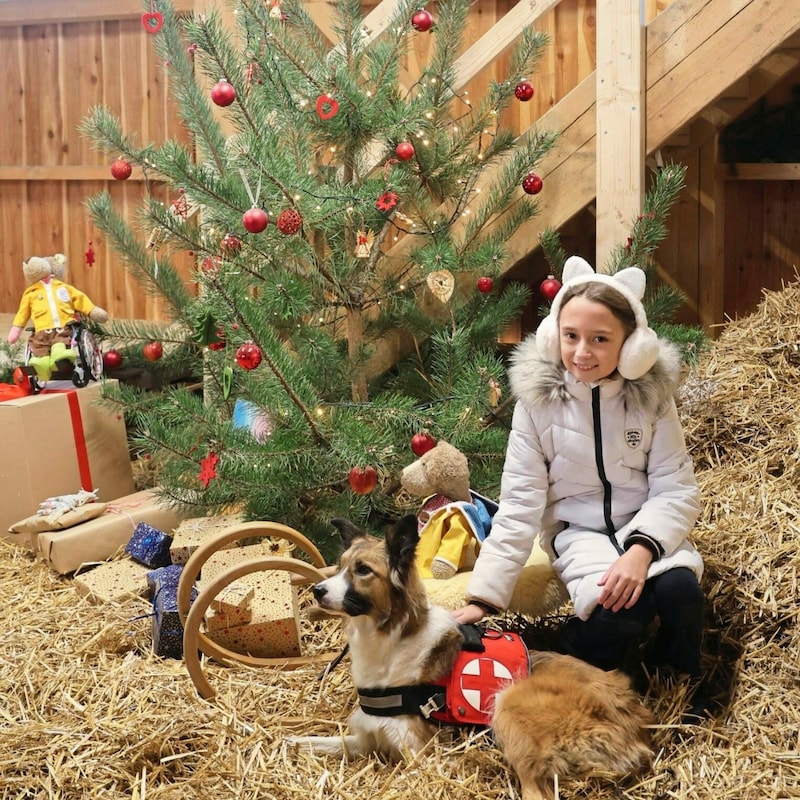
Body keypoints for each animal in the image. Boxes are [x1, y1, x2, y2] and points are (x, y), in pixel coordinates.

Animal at [290, 516, 652, 796]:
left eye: (363, 570)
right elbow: (316, 742)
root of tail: (635, 722)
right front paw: (291, 742)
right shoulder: (368, 737)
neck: (390, 638)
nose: (317, 591)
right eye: (339, 568)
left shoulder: (423, 754)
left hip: (507, 704)